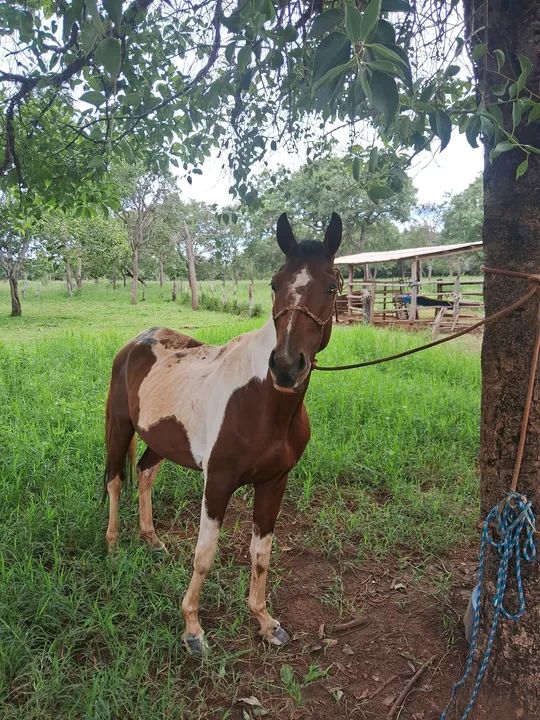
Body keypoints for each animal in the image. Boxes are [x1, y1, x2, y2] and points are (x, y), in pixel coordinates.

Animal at [104, 212, 342, 656]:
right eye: (275, 283)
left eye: (332, 285)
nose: (287, 366)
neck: (264, 402)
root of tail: (136, 341)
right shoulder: (217, 482)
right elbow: (204, 553)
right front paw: (192, 629)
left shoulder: (274, 482)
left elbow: (261, 553)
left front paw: (265, 622)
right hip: (119, 425)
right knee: (114, 480)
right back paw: (112, 546)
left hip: (161, 440)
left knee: (144, 473)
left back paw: (151, 539)